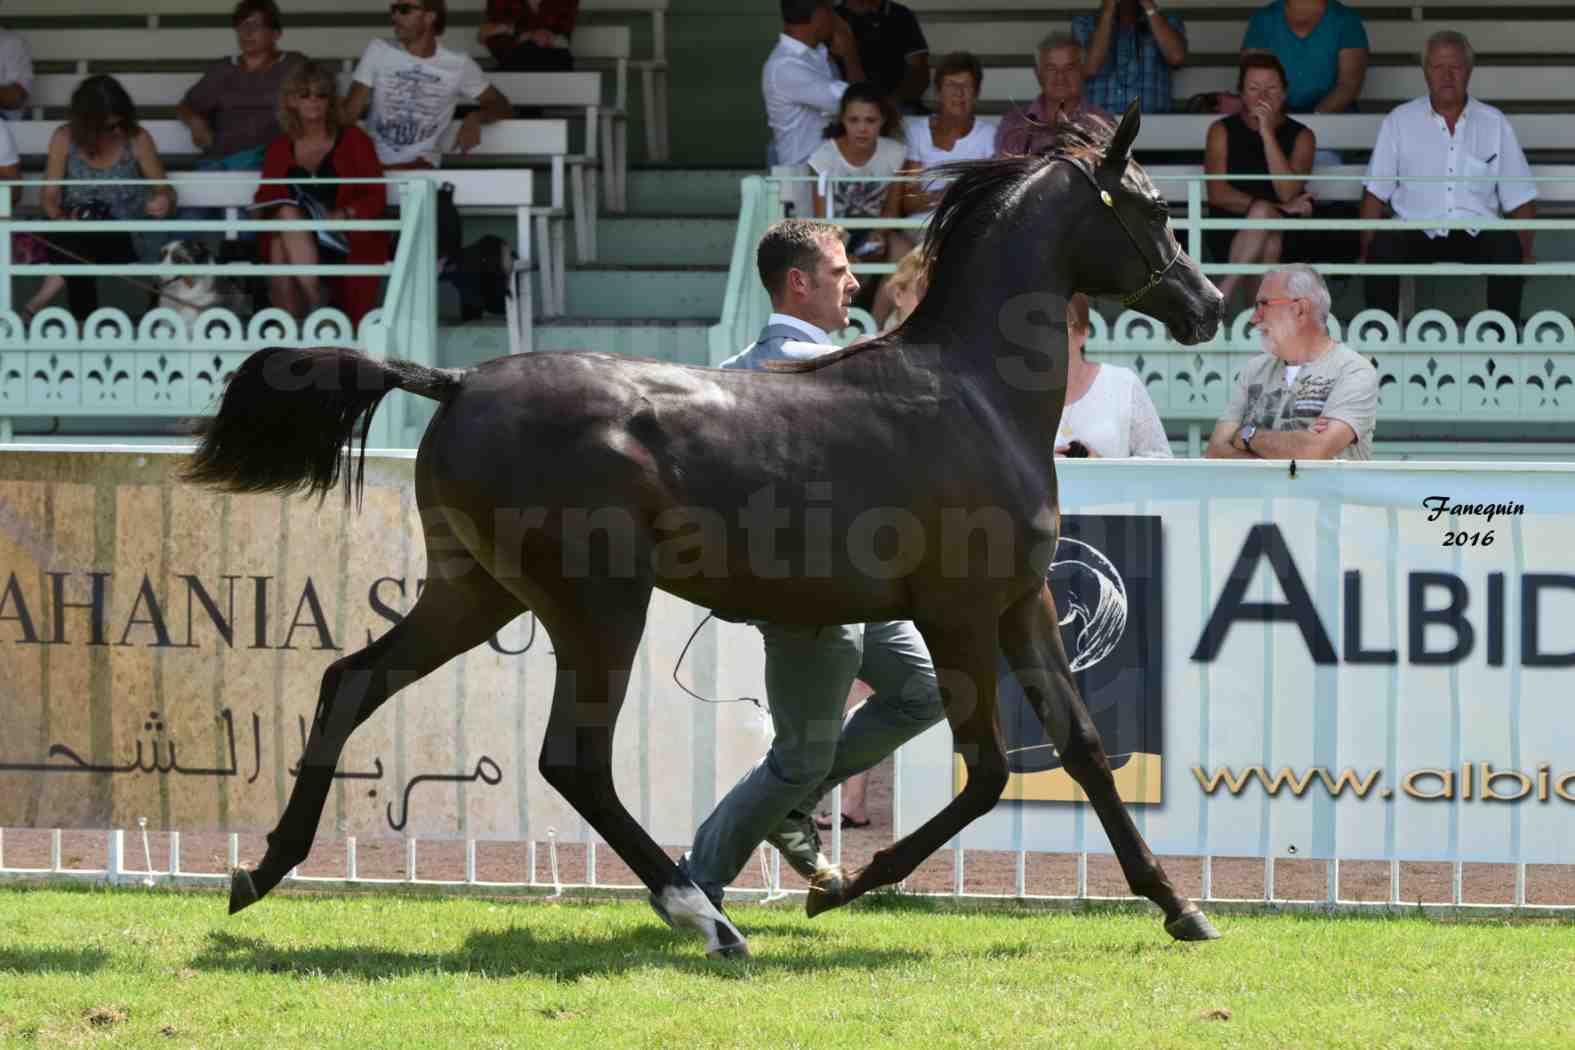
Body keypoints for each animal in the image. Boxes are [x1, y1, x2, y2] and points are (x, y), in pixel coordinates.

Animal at [187, 102, 1228, 957]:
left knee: (352, 681)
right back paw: (703, 915)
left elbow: (1082, 745)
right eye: (1151, 210)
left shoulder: (1020, 605)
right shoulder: (960, 613)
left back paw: (259, 870)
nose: (1206, 305)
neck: (970, 392)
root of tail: (457, 380)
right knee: (572, 759)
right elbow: (984, 775)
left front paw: (1178, 906)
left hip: (476, 591)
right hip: (597, 604)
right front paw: (842, 886)